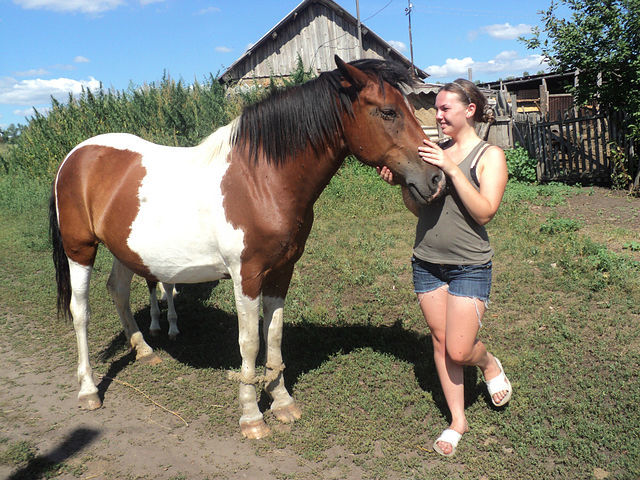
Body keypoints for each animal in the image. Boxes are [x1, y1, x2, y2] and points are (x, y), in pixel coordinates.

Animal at [50, 56, 444, 438]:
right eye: (388, 112)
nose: (436, 178)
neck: (262, 179)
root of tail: (75, 156)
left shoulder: (282, 271)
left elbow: (274, 335)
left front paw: (282, 402)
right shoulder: (247, 275)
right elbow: (250, 342)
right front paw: (252, 416)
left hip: (125, 250)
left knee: (117, 291)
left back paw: (145, 351)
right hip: (80, 249)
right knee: (80, 311)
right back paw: (88, 390)